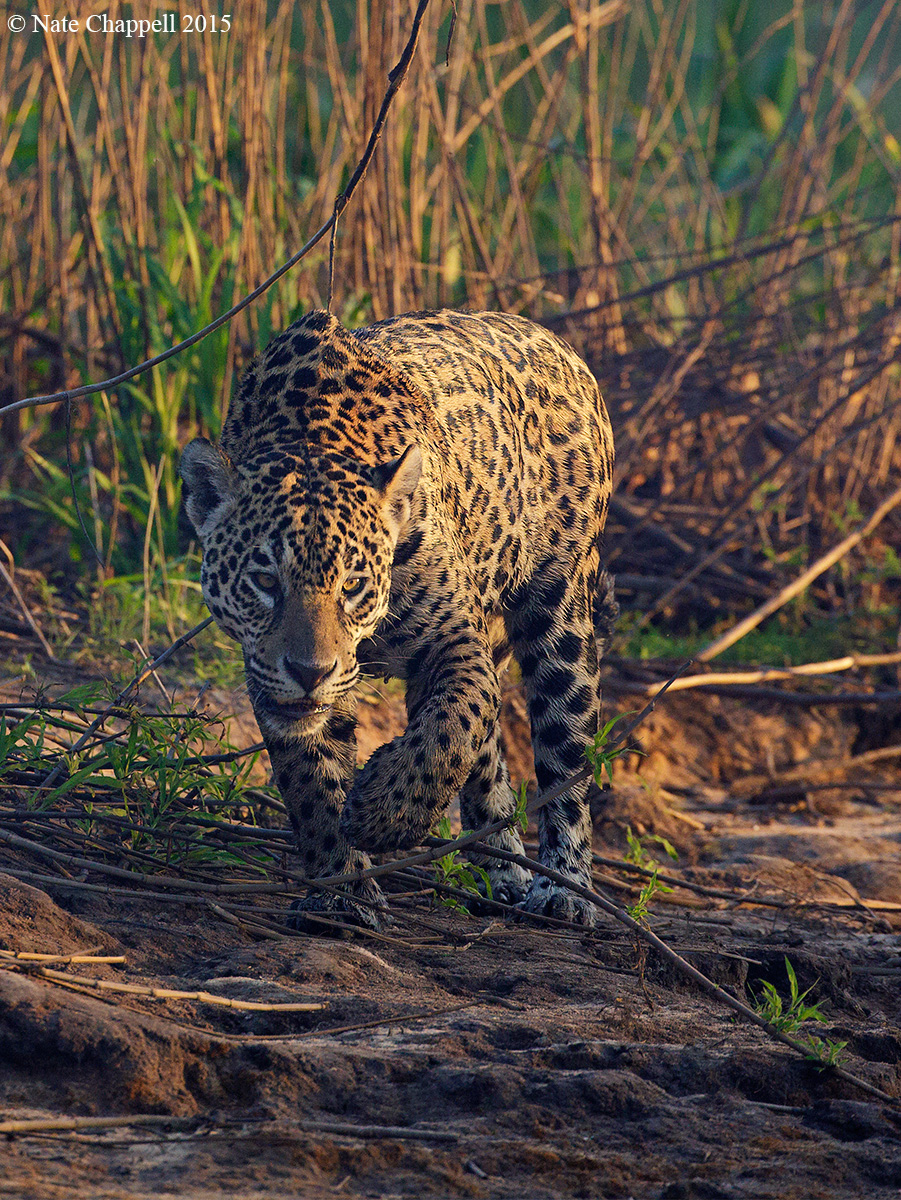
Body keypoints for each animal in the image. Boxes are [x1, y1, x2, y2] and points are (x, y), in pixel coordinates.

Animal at [180, 308, 616, 931]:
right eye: (264, 582)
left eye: (352, 586)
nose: (309, 671)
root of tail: (559, 345)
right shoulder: (273, 678)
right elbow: (311, 779)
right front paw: (339, 891)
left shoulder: (453, 638)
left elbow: (452, 728)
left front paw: (384, 813)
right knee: (490, 762)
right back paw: (502, 872)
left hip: (561, 610)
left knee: (564, 755)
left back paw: (565, 889)